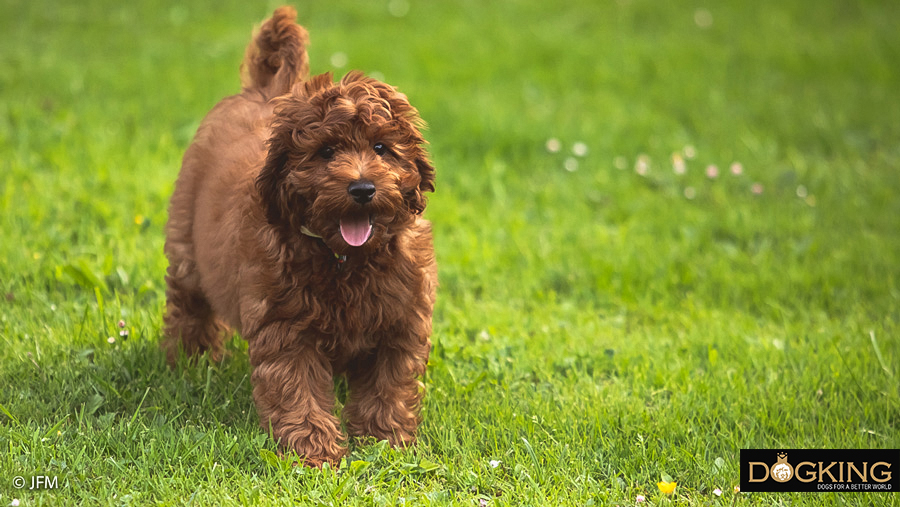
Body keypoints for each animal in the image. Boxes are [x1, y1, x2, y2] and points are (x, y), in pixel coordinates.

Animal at [166, 6, 440, 468]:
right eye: (326, 152)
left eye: (381, 148)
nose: (362, 189)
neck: (346, 259)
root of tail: (262, 91)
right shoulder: (285, 326)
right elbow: (298, 389)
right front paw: (315, 453)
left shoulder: (401, 320)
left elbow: (389, 386)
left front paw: (384, 441)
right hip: (185, 244)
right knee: (188, 305)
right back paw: (192, 360)